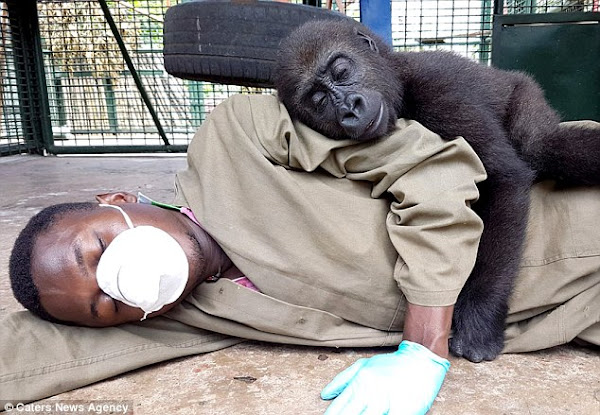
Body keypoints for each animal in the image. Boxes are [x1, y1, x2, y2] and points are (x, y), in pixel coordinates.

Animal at [274, 20, 600, 364]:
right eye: (320, 101)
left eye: (341, 72)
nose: (350, 108)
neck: (400, 80)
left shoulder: (439, 89)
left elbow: (503, 179)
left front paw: (479, 318)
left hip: (526, 93)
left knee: (540, 144)